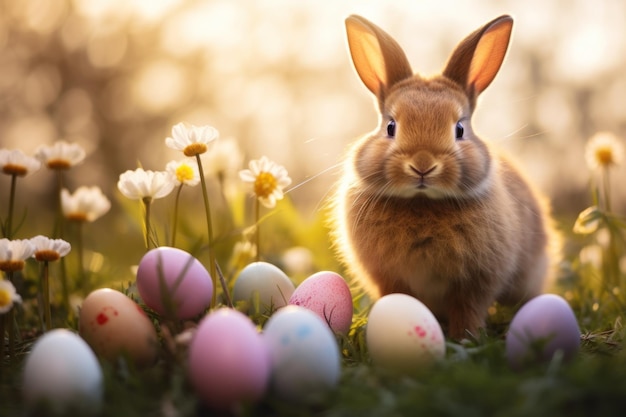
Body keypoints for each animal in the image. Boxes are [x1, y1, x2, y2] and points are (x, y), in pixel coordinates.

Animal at [332, 13, 556, 338]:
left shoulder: (476, 281)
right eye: (391, 127)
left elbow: (468, 309)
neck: (422, 202)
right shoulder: (388, 277)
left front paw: (465, 338)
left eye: (459, 129)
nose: (423, 164)